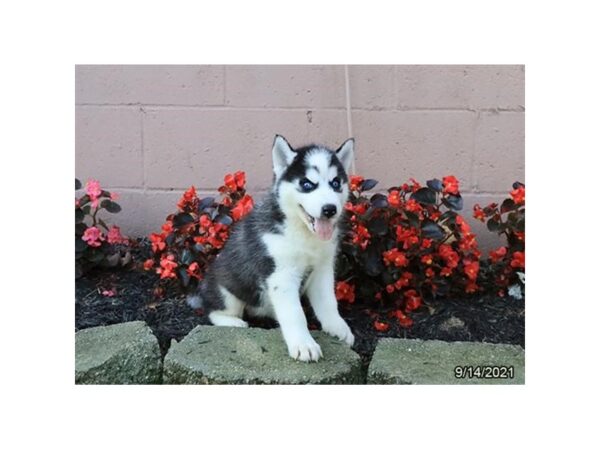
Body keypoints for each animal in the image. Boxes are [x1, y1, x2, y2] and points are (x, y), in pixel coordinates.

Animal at [188, 134, 354, 362]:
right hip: (227, 290)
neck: (301, 232)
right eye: (307, 184)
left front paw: (338, 327)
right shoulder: (281, 275)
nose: (329, 209)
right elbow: (295, 314)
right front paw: (304, 344)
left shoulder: (322, 269)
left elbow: (329, 302)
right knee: (214, 310)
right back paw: (232, 322)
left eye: (336, 183)